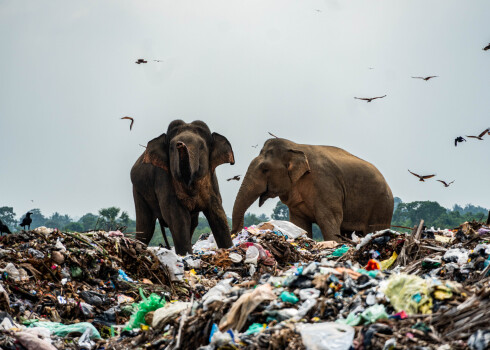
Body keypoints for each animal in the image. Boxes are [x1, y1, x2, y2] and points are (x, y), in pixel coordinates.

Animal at [131, 120, 234, 254]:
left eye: (201, 146)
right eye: (171, 147)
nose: (180, 144)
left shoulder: (212, 180)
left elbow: (217, 212)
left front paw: (230, 249)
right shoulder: (164, 178)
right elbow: (177, 216)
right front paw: (185, 255)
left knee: (193, 223)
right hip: (138, 190)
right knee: (145, 228)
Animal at [231, 137, 394, 241]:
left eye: (265, 169)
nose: (235, 234)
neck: (295, 147)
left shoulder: (325, 185)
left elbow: (329, 220)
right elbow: (299, 224)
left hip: (382, 206)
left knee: (373, 230)